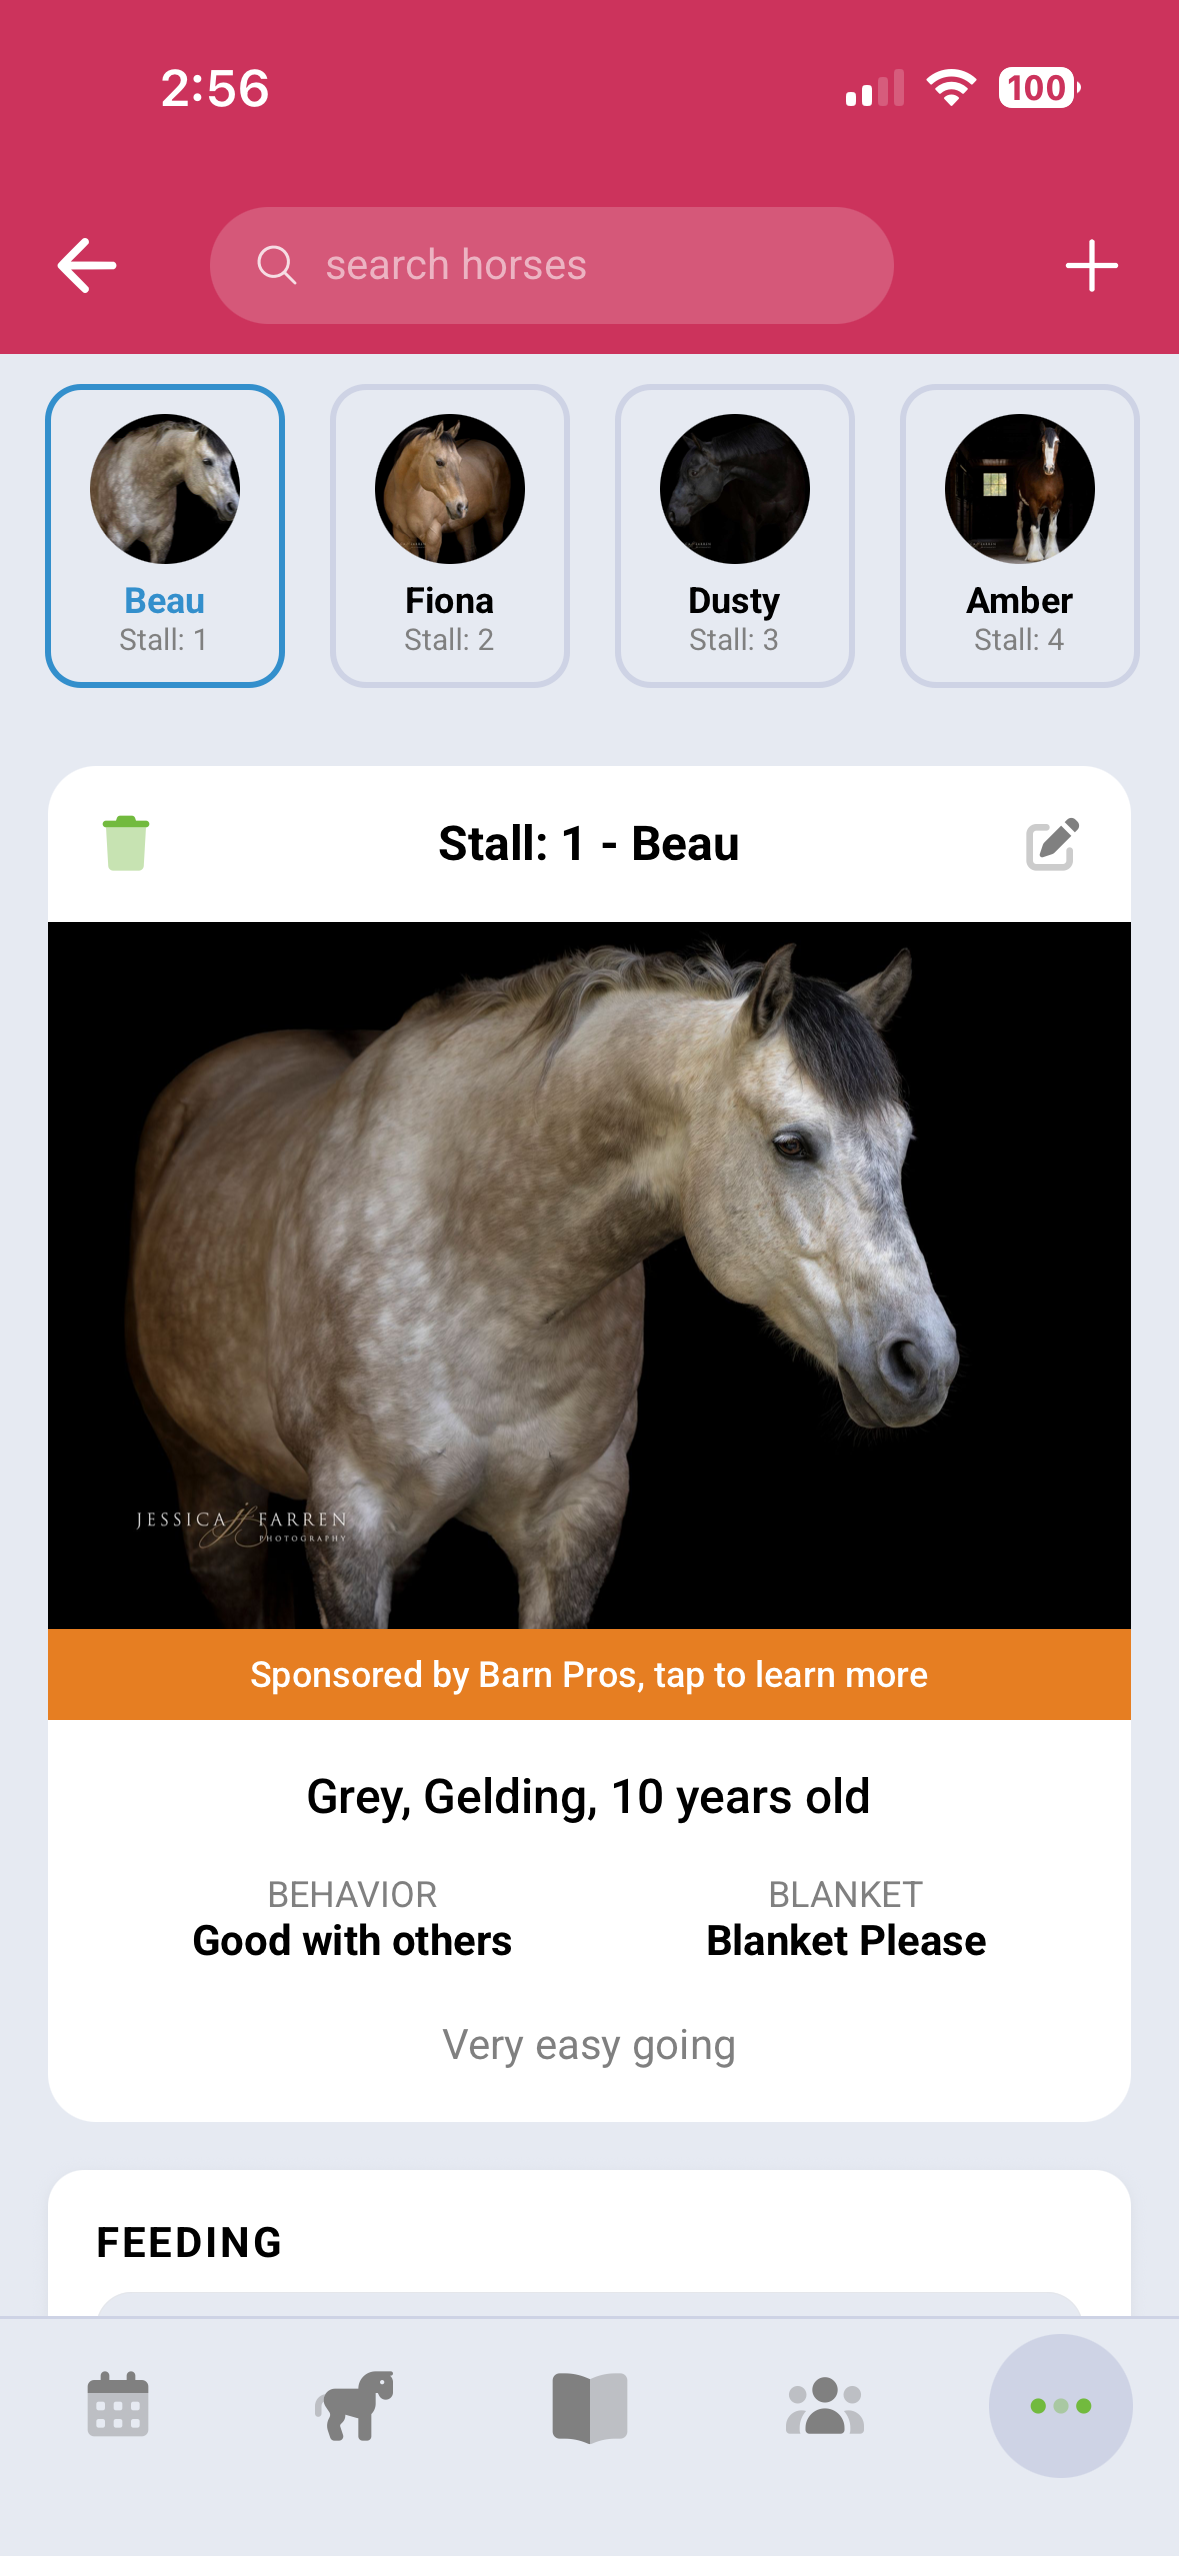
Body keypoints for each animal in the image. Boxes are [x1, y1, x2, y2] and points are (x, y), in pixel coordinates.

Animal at [127, 944, 959, 1633]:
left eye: (901, 1145)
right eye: (791, 1144)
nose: (923, 1362)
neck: (485, 1269)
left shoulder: (576, 1521)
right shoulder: (351, 1528)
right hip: (213, 1494)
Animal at [382, 421, 511, 560]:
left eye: (460, 461)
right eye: (439, 462)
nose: (461, 506)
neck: (406, 497)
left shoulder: (433, 539)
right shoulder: (402, 535)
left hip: (496, 519)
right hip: (464, 525)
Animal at [1013, 423, 1064, 562]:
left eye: (1057, 442)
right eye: (1042, 442)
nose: (1049, 468)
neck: (1048, 479)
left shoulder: (1056, 504)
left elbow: (1052, 528)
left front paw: (1051, 553)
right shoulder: (1033, 504)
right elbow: (1034, 528)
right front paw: (1034, 556)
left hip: (1041, 508)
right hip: (1019, 503)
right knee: (1020, 523)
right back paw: (1020, 549)